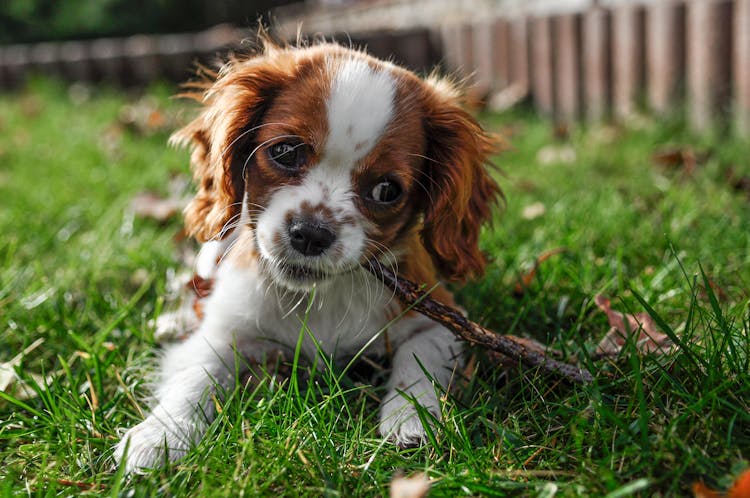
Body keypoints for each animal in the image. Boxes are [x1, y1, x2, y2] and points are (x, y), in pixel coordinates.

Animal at [113, 38, 500, 470]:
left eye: (386, 190)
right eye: (285, 152)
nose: (311, 235)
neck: (319, 298)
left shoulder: (440, 320)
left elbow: (417, 361)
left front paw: (411, 419)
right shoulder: (227, 328)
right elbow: (196, 371)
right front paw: (161, 435)